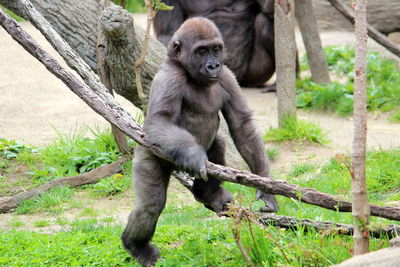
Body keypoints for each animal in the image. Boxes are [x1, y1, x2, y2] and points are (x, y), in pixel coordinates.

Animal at [122, 17, 278, 267]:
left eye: (215, 49)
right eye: (201, 51)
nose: (213, 65)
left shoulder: (227, 76)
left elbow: (242, 125)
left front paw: (265, 188)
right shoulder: (170, 78)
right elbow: (159, 121)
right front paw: (194, 156)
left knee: (218, 144)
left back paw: (207, 193)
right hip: (147, 153)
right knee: (149, 207)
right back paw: (136, 245)